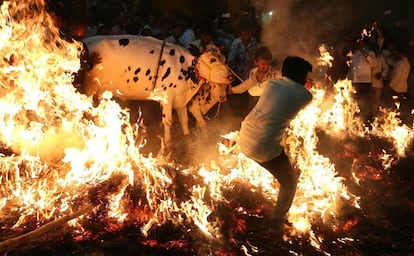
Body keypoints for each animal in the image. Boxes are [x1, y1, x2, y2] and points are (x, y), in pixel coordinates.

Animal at [82, 35, 231, 149]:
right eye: (212, 59)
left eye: (224, 58)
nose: (231, 76)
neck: (186, 67)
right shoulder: (167, 97)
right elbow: (168, 121)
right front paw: (168, 144)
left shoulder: (181, 99)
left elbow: (184, 120)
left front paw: (187, 137)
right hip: (90, 87)